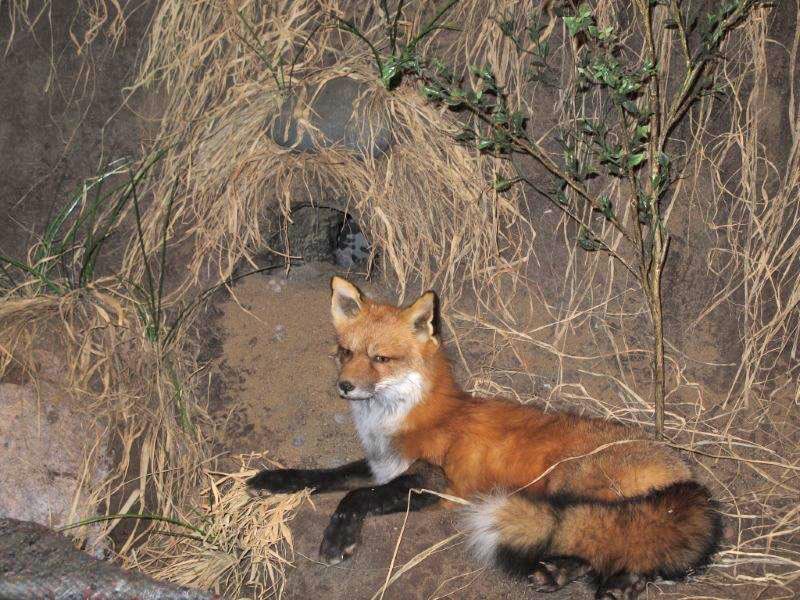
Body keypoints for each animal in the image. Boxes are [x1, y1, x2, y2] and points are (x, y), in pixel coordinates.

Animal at [248, 276, 720, 599]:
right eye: (346, 352)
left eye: (380, 359)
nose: (344, 387)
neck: (398, 419)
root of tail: (686, 472)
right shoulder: (382, 464)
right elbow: (325, 475)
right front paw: (275, 480)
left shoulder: (434, 479)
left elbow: (355, 497)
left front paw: (338, 537)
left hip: (573, 485)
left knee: (617, 545)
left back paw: (596, 579)